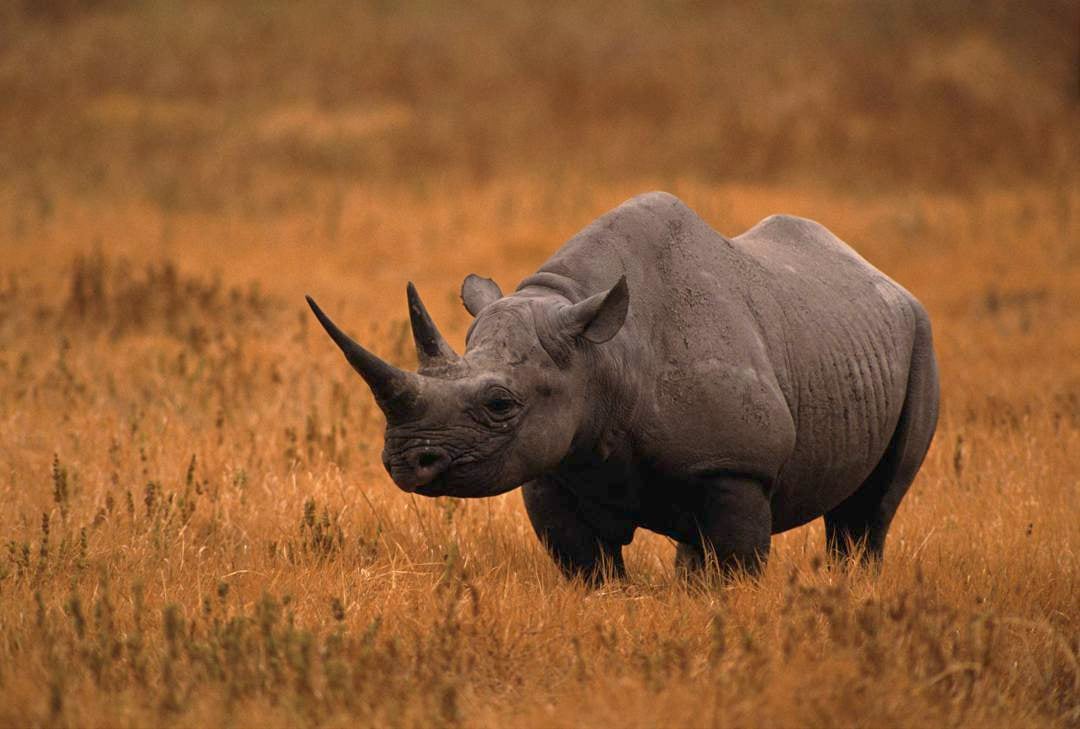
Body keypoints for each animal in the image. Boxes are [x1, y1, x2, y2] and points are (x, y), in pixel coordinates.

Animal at [306, 192, 939, 581]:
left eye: (499, 403)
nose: (405, 462)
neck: (601, 356)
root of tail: (878, 274)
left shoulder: (739, 464)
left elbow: (736, 564)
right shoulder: (552, 461)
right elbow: (586, 565)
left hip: (919, 335)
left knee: (869, 512)